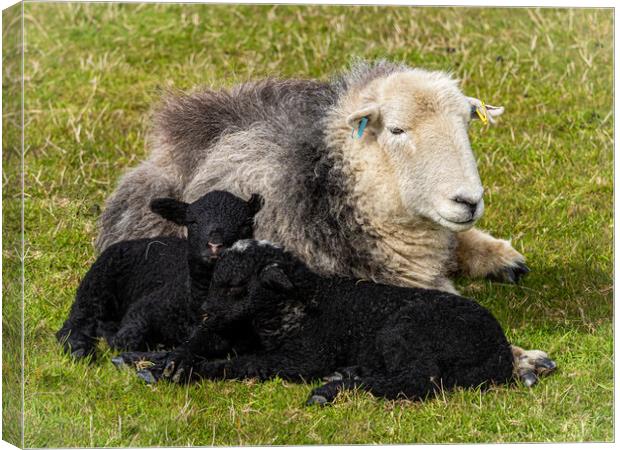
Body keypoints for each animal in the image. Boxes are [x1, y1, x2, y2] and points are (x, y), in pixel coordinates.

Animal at [55, 190, 264, 358]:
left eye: (245, 225)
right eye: (193, 222)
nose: (215, 245)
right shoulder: (143, 310)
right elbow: (125, 341)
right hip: (96, 285)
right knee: (77, 321)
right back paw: (79, 349)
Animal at [118, 241, 556, 406]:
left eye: (238, 286)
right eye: (215, 281)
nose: (205, 310)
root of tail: (496, 349)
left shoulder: (302, 358)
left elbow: (244, 364)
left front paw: (188, 369)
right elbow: (209, 343)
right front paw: (164, 359)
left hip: (405, 328)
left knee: (419, 382)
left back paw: (333, 388)